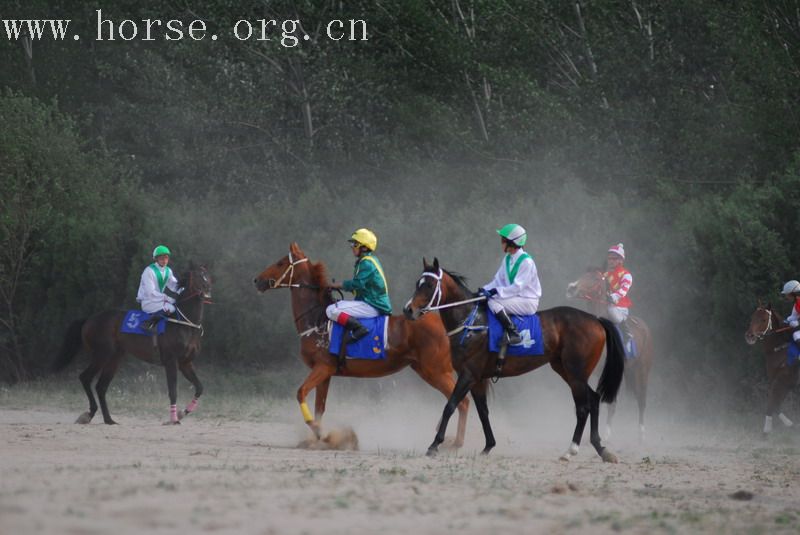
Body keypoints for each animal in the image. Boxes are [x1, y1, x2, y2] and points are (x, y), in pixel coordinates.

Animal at [53, 264, 212, 428]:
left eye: (207, 275)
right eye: (198, 276)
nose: (207, 289)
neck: (185, 324)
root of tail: (89, 319)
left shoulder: (185, 363)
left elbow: (199, 387)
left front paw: (182, 413)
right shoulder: (171, 361)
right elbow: (173, 391)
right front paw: (174, 419)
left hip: (114, 358)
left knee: (101, 387)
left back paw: (109, 419)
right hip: (101, 355)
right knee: (85, 378)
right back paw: (89, 414)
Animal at [252, 245, 468, 446]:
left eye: (280, 263)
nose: (257, 280)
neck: (317, 320)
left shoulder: (322, 367)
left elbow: (301, 392)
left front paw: (317, 430)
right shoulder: (326, 373)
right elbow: (319, 407)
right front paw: (318, 438)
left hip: (436, 370)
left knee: (463, 401)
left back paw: (455, 443)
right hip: (426, 370)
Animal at [406, 258, 624, 460]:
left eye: (429, 285)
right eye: (418, 282)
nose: (408, 309)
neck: (471, 322)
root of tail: (596, 320)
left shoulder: (468, 375)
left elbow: (450, 406)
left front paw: (434, 445)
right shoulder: (478, 379)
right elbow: (483, 411)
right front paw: (488, 446)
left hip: (576, 373)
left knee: (583, 407)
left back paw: (571, 450)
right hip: (566, 370)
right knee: (594, 399)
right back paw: (601, 448)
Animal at [564, 270, 652, 442]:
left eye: (594, 278)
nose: (571, 287)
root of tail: (643, 326)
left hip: (642, 370)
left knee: (641, 399)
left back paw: (640, 434)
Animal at [744, 306, 800, 436]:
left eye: (764, 319)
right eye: (752, 317)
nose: (749, 336)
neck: (780, 349)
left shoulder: (784, 381)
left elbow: (772, 401)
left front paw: (766, 430)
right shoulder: (779, 381)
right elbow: (775, 403)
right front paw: (790, 424)